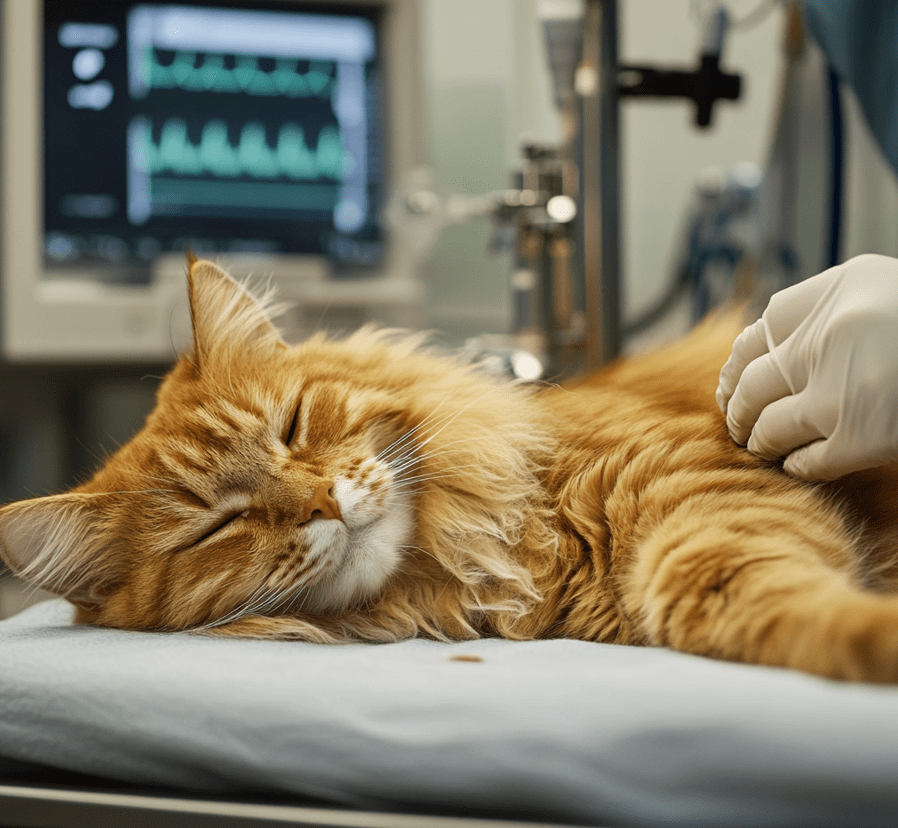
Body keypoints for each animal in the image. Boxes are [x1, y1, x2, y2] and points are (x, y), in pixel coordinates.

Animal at [1, 258, 896, 680]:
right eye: (217, 526)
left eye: (293, 427)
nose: (323, 502)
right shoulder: (700, 537)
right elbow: (775, 606)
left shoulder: (706, 500)